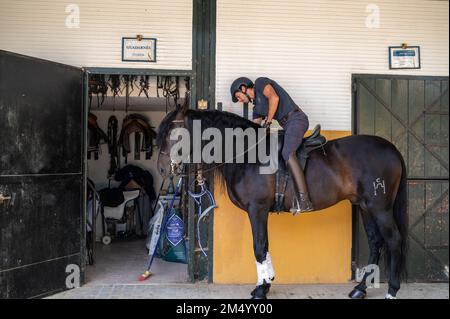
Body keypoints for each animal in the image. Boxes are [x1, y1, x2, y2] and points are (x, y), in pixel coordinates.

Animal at [156, 107, 410, 300]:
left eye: (172, 133)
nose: (161, 169)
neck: (247, 155)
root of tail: (393, 150)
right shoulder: (260, 211)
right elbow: (265, 246)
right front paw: (267, 282)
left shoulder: (257, 209)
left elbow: (259, 246)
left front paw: (260, 289)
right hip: (365, 207)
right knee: (376, 242)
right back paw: (360, 289)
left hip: (380, 208)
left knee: (394, 241)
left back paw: (392, 290)